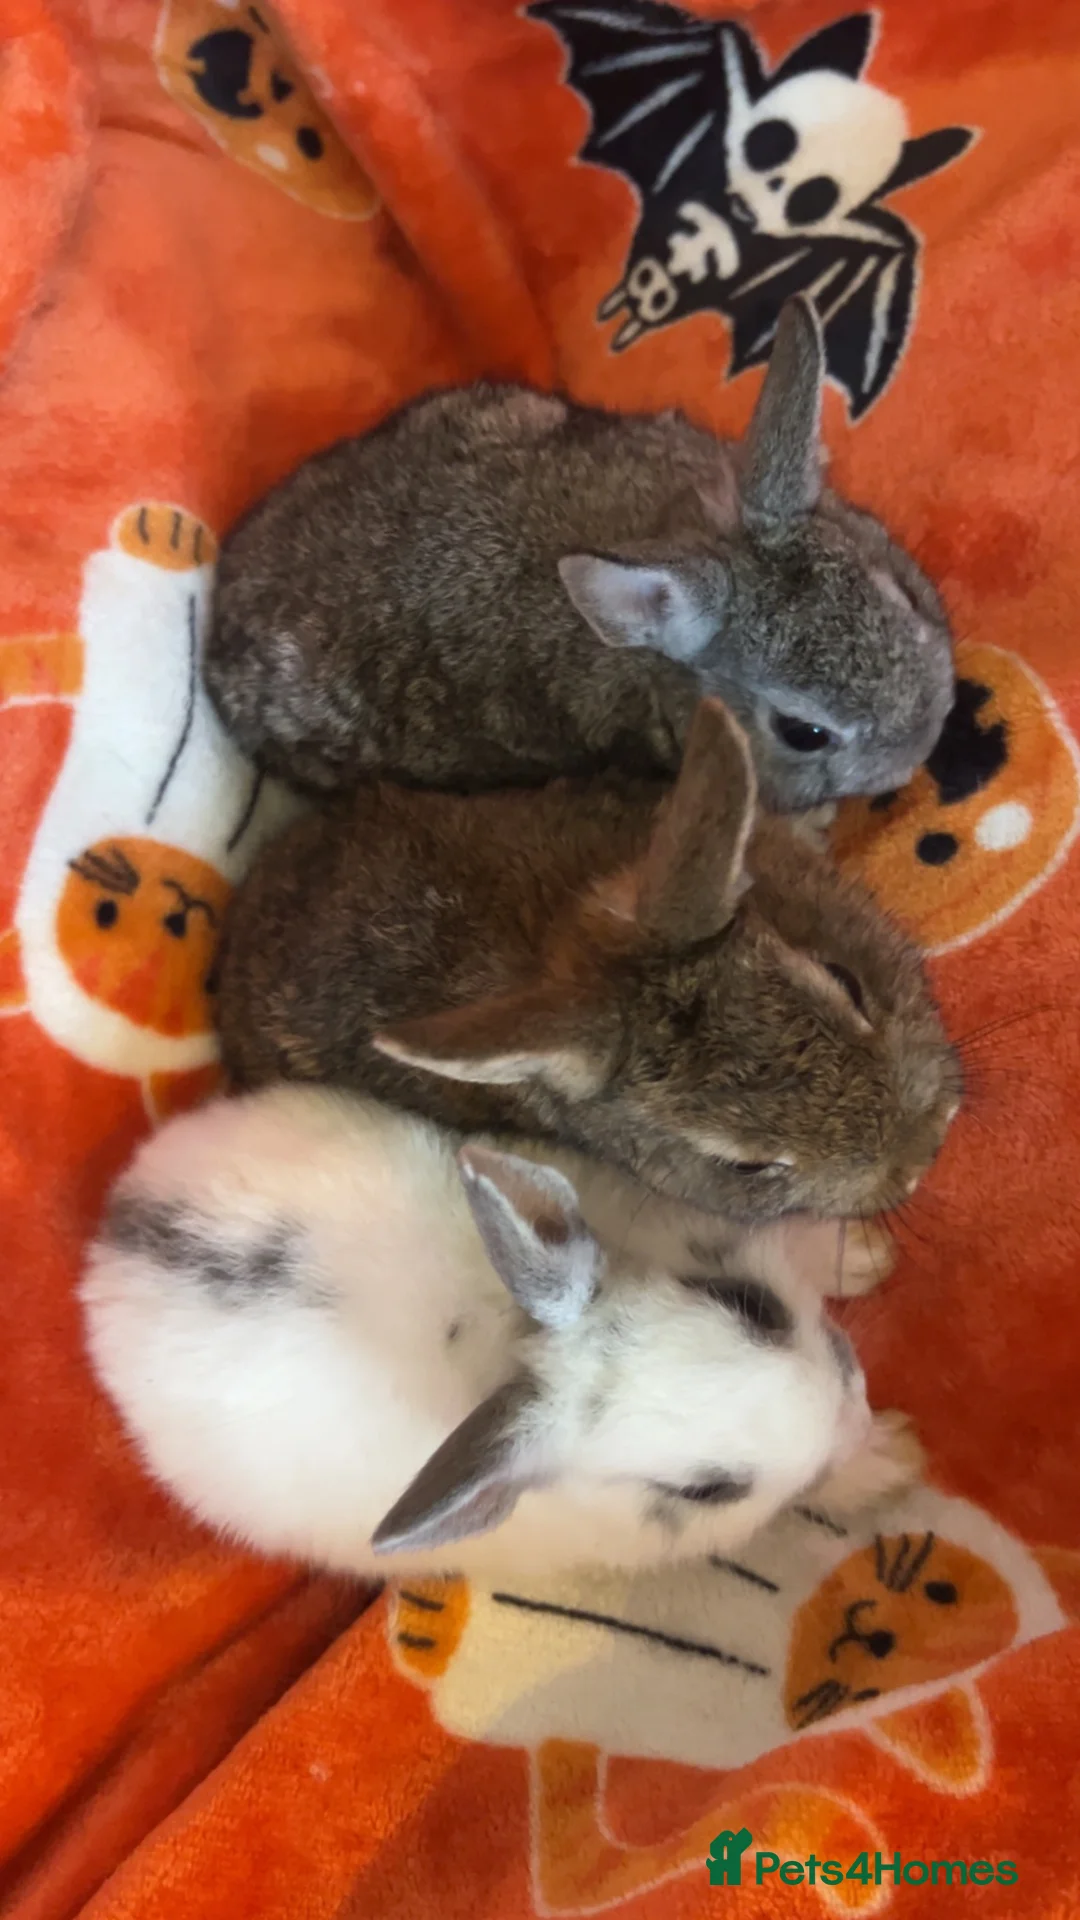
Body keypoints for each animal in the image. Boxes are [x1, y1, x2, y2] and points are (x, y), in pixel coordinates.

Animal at [79, 1084, 923, 1584]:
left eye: (748, 1303)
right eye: (704, 1490)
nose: (854, 1407)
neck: (514, 1341)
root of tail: (108, 1247)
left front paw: (863, 1257)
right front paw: (893, 1463)